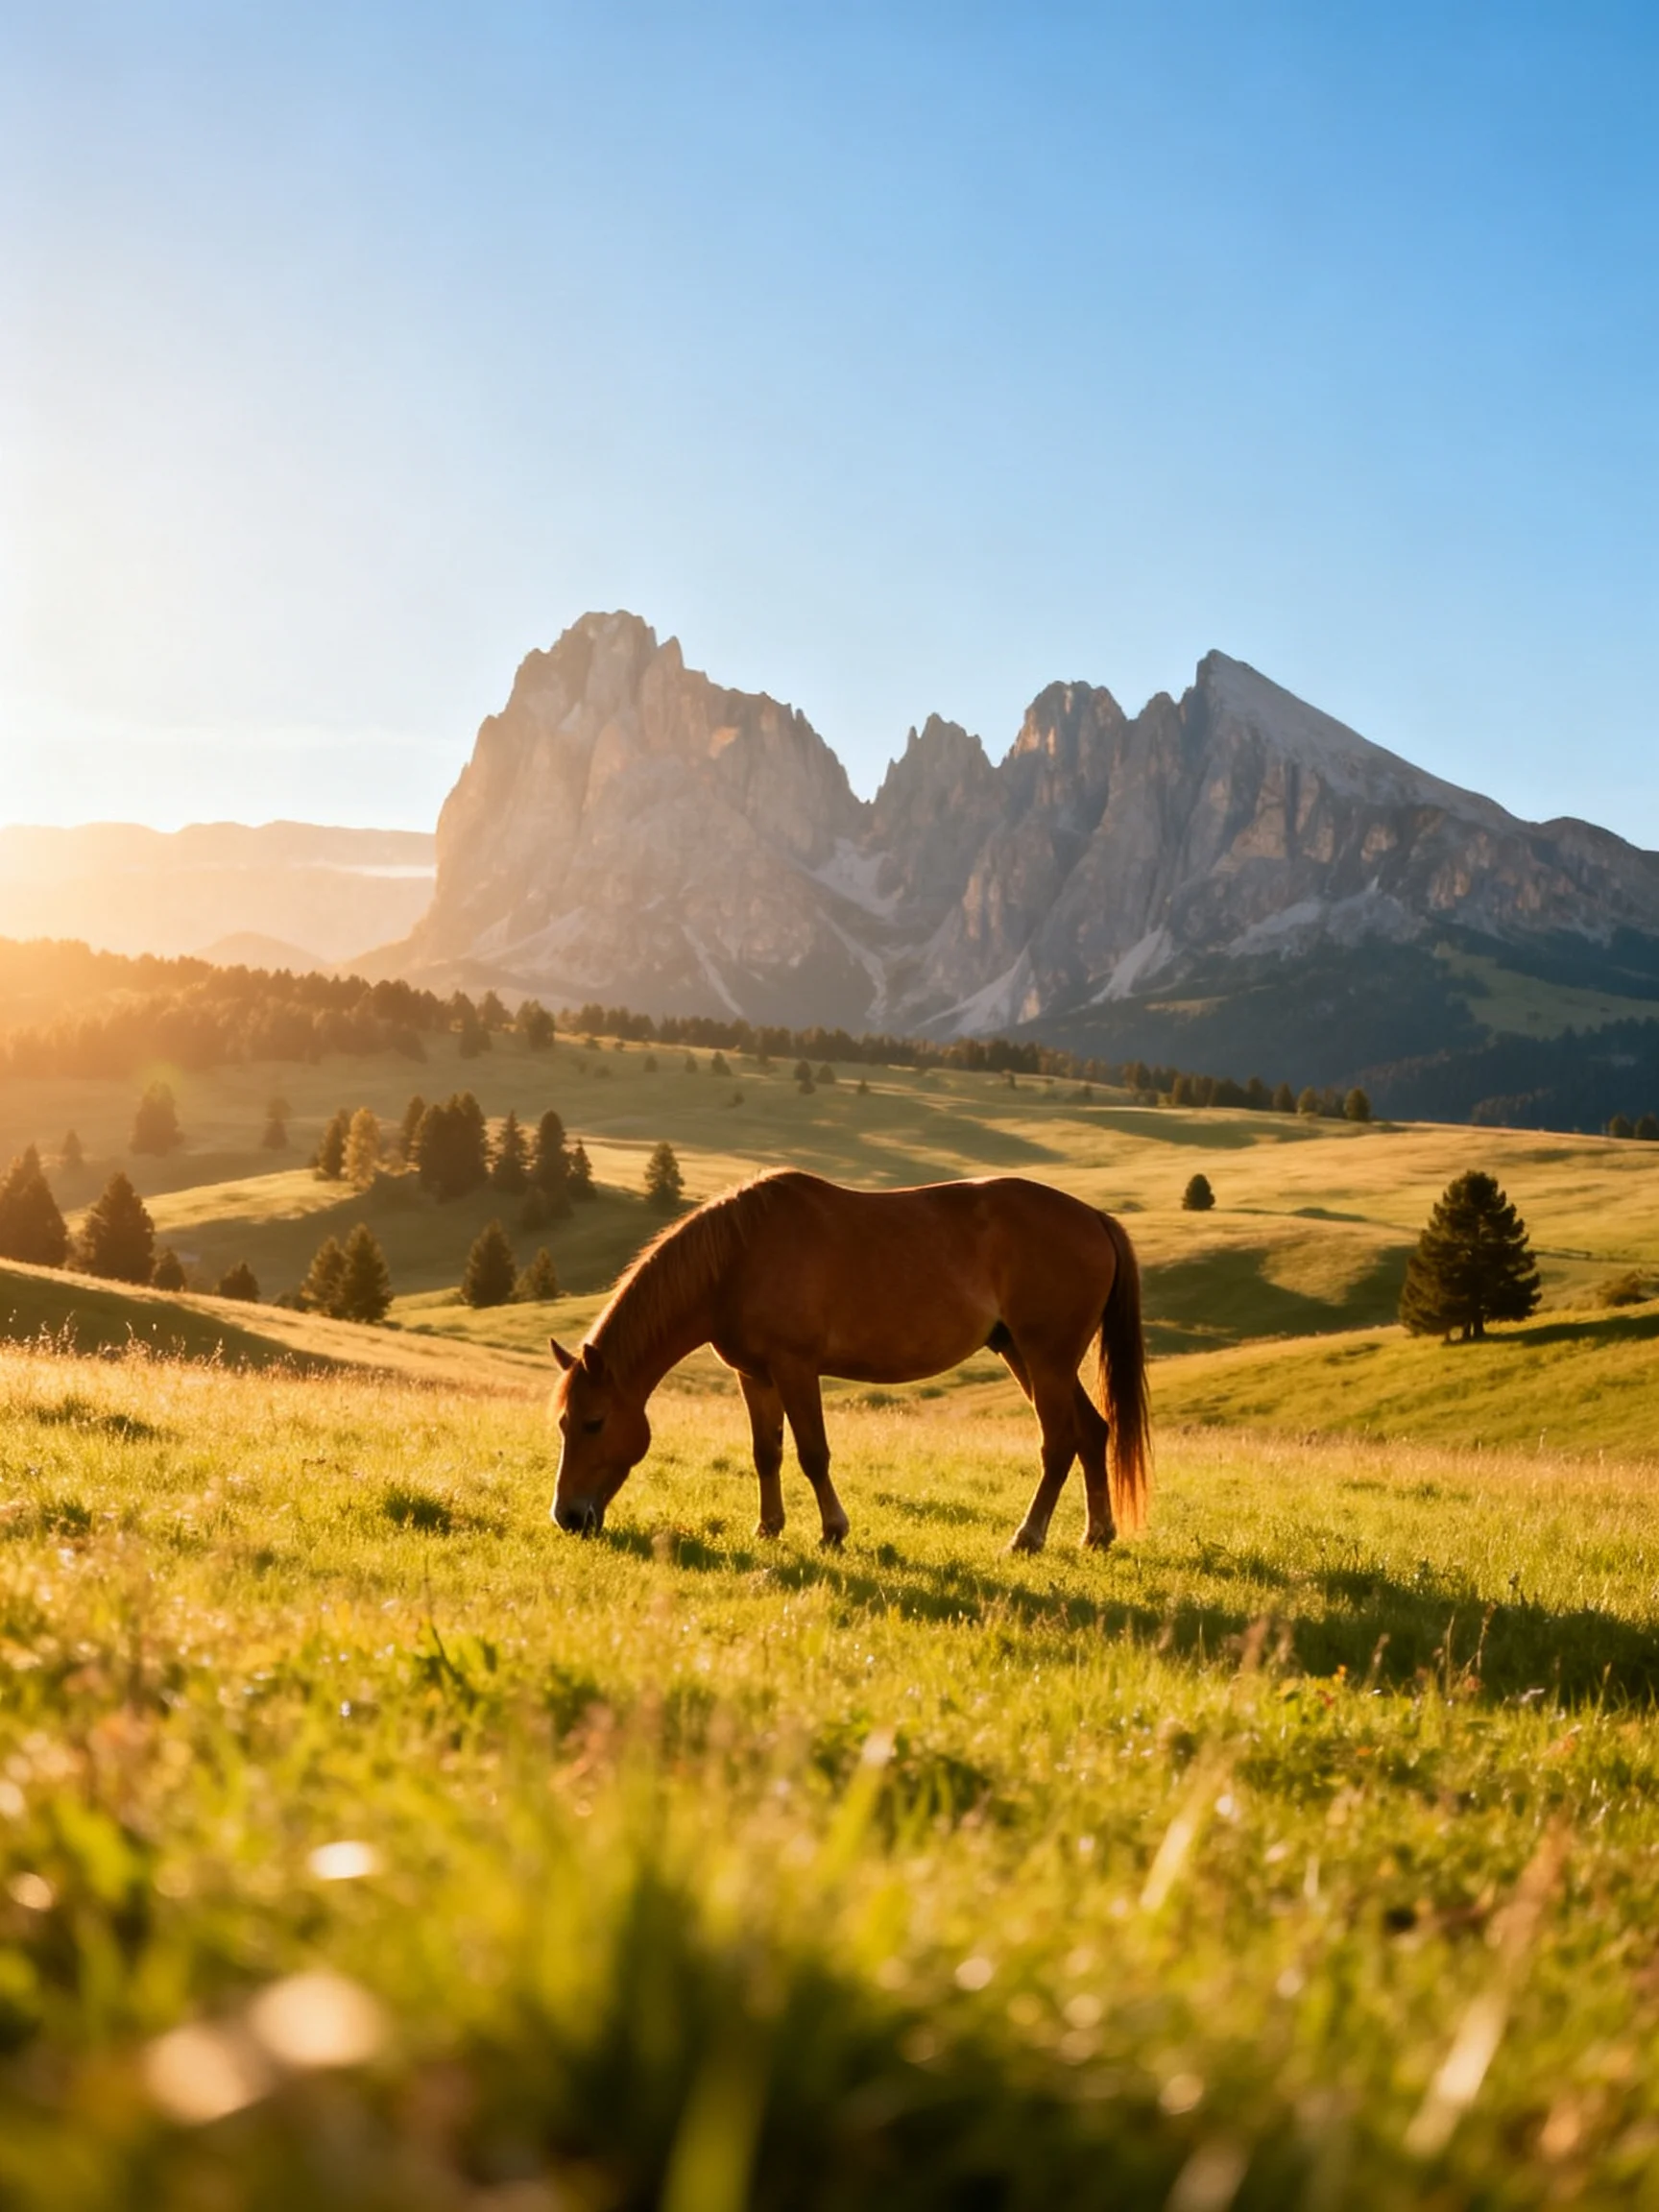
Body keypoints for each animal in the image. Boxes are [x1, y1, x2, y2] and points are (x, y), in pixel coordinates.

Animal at [549, 1169, 1150, 1554]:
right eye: (562, 1424)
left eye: (594, 1422)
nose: (568, 1517)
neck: (739, 1259)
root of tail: (1094, 1218)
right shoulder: (755, 1376)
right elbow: (766, 1453)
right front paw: (768, 1528)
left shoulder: (796, 1368)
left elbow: (813, 1454)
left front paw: (833, 1529)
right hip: (1027, 1356)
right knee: (1093, 1431)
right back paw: (1097, 1533)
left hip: (1046, 1359)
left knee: (1060, 1442)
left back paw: (1028, 1537)